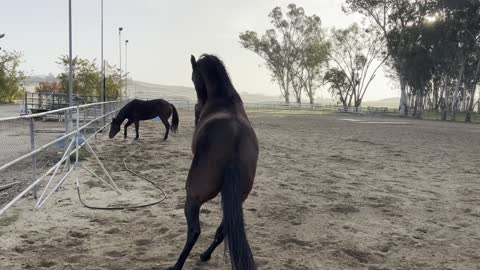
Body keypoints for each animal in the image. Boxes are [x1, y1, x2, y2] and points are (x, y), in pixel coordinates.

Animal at [168, 53, 258, 268]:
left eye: (194, 76)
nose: (200, 101)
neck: (224, 99)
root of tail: (234, 144)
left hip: (193, 196)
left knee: (194, 231)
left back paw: (177, 265)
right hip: (238, 197)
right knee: (222, 231)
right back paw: (205, 255)